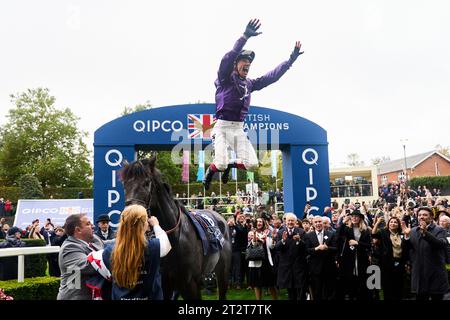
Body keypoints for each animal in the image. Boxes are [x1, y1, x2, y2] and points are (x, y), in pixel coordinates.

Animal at [120, 156, 232, 298]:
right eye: (125, 184)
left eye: (146, 183)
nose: (130, 216)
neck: (172, 240)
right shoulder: (165, 284)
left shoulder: (190, 284)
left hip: (222, 272)